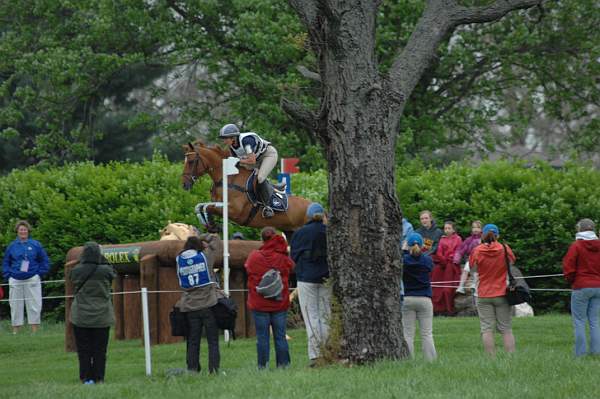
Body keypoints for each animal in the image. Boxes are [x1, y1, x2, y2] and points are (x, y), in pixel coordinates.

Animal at [180, 141, 312, 233]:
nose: (184, 184)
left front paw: (212, 226)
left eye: (190, 162)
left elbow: (208, 208)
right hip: (290, 231)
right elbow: (200, 207)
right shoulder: (217, 203)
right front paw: (210, 226)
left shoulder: (234, 210)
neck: (227, 178)